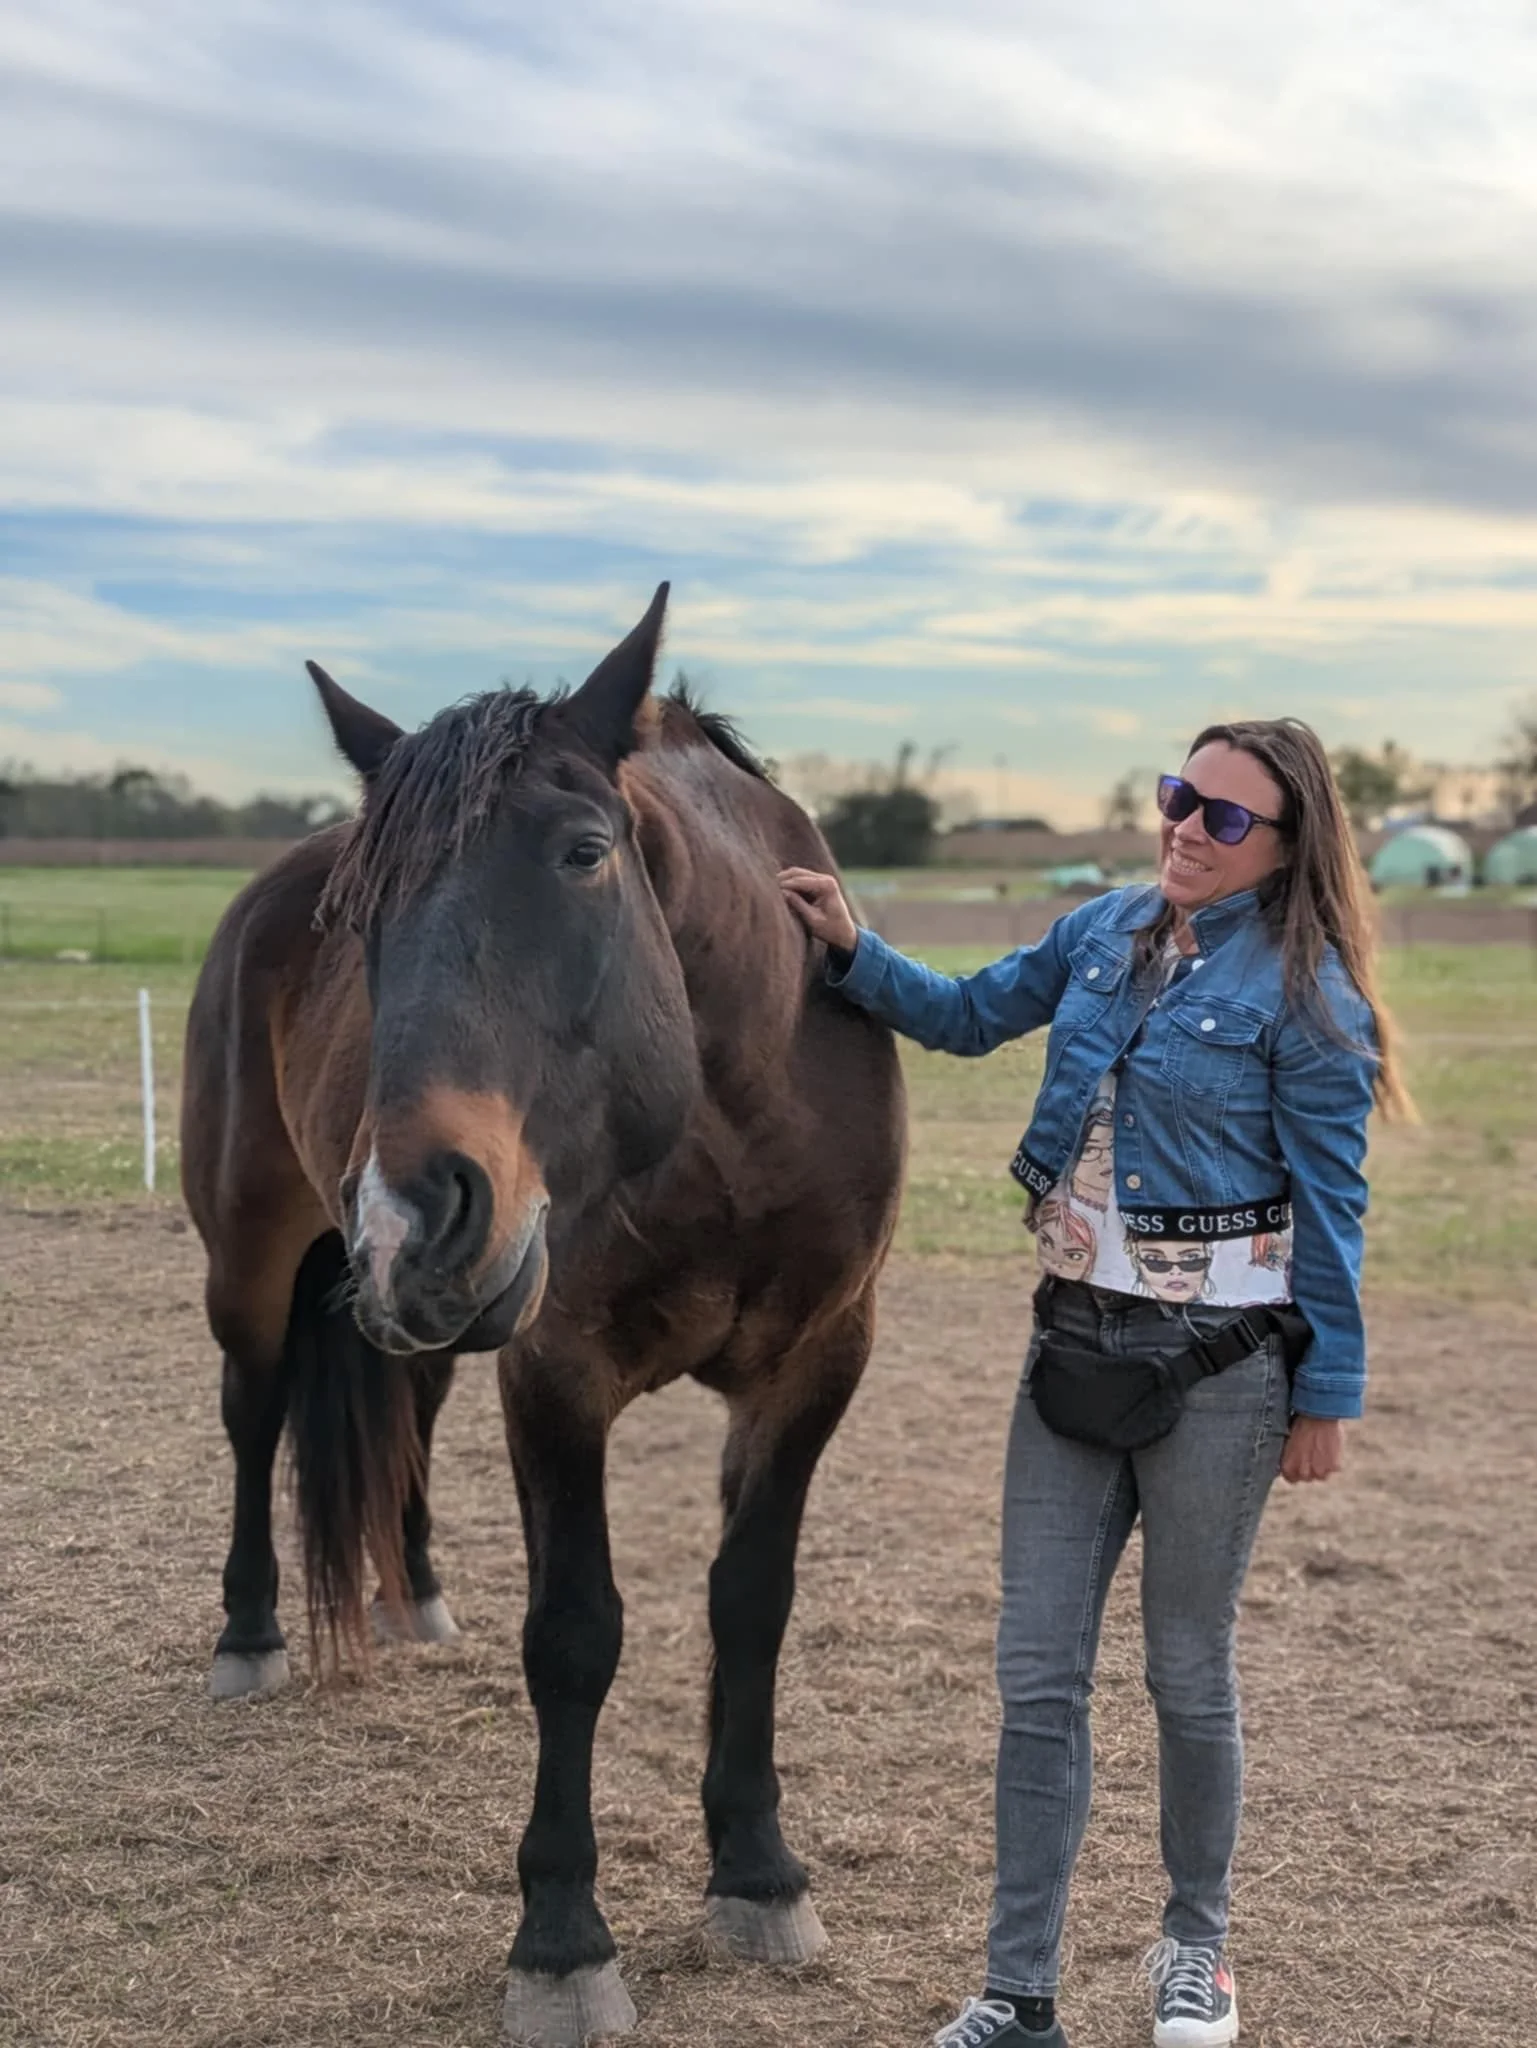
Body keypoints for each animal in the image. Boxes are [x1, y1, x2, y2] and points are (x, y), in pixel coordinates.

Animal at [179, 584, 906, 2044]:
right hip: (257, 1267)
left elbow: (752, 1599)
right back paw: (251, 1633)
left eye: (582, 854)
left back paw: (416, 1592)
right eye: (360, 915)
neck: (732, 1119)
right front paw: (564, 1941)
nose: (408, 1210)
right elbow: (574, 1635)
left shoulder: (814, 1364)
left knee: (404, 1419)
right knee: (250, 1417)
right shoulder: (560, 1373)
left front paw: (756, 1869)